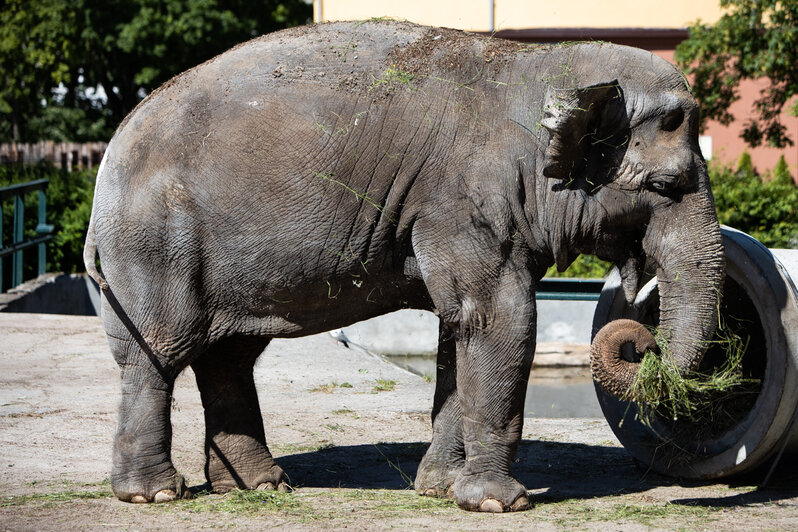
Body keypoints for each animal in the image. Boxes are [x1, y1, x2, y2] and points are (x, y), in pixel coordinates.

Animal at [84, 19, 728, 512]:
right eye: (666, 186)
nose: (641, 342)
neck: (546, 66)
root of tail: (108, 158)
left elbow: (459, 330)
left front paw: (440, 491)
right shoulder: (466, 204)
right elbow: (502, 321)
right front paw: (498, 503)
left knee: (228, 356)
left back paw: (259, 486)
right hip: (154, 245)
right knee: (159, 353)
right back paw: (154, 495)